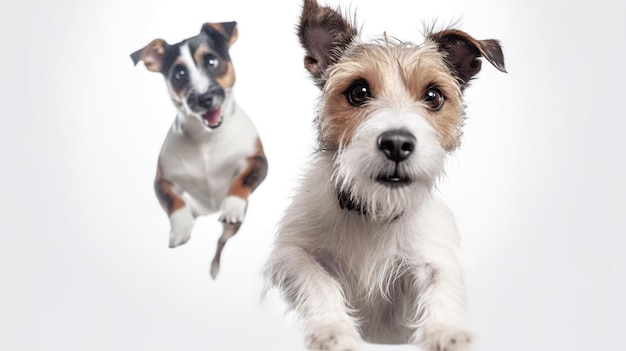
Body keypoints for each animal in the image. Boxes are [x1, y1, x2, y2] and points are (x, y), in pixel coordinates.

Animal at [130, 22, 266, 280]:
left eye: (211, 61)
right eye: (179, 74)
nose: (204, 98)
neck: (207, 139)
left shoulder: (257, 161)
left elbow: (241, 181)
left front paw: (232, 205)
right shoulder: (162, 180)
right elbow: (173, 201)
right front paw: (180, 228)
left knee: (222, 240)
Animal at [260, 1, 504, 350]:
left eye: (433, 96)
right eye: (359, 92)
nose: (397, 144)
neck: (375, 212)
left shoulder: (433, 256)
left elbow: (441, 283)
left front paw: (445, 330)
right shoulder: (290, 253)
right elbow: (317, 278)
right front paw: (333, 329)